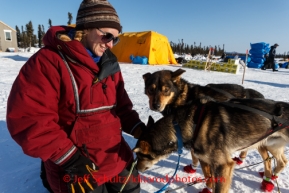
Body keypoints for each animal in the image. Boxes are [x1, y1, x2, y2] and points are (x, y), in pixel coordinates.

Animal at [133, 98, 288, 193]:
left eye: (140, 155)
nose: (137, 169)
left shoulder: (223, 165)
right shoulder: (205, 160)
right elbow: (209, 178)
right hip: (270, 145)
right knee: (282, 161)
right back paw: (271, 178)